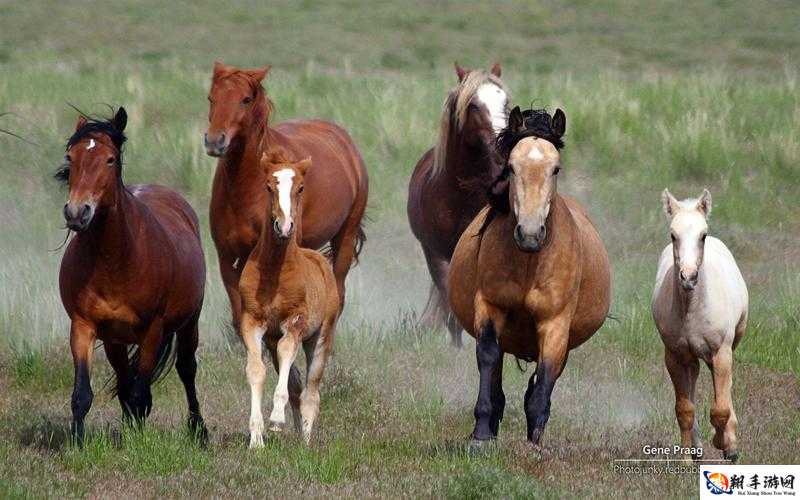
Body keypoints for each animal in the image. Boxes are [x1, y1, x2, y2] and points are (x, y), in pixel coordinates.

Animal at [57, 107, 206, 444]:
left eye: (110, 159)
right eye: (71, 157)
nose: (77, 213)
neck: (116, 261)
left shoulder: (153, 329)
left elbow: (140, 390)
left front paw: (137, 440)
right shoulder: (83, 326)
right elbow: (83, 394)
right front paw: (77, 442)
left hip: (189, 323)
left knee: (186, 370)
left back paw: (198, 430)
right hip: (115, 340)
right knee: (126, 379)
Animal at [205, 62, 370, 330]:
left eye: (245, 99)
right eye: (211, 98)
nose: (214, 141)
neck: (245, 189)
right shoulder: (227, 258)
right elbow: (241, 316)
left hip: (345, 238)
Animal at [410, 62, 510, 348]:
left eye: (506, 103)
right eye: (474, 105)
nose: (504, 146)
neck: (461, 196)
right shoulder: (436, 253)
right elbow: (449, 299)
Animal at [446, 106, 608, 446]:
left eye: (556, 169)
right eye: (511, 167)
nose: (530, 234)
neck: (529, 264)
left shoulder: (555, 323)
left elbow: (544, 377)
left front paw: (534, 443)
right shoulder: (490, 307)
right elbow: (488, 357)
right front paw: (481, 435)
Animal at [652, 190, 748, 460]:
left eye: (702, 235)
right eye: (673, 235)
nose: (688, 277)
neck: (692, 310)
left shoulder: (722, 353)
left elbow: (720, 409)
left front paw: (725, 444)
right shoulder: (674, 356)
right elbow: (684, 409)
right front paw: (686, 459)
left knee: (725, 391)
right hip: (690, 357)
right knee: (693, 380)